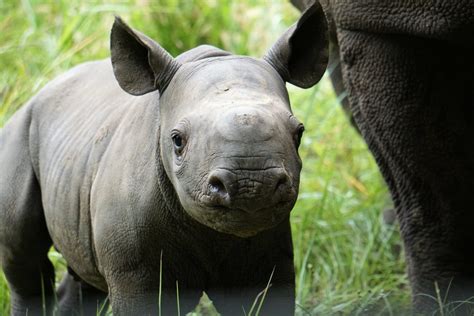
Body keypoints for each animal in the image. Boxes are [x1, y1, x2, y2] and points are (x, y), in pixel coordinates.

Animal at [0, 3, 326, 316]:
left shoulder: (268, 255)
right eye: (177, 140)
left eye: (299, 133)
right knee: (24, 258)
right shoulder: (134, 272)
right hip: (18, 133)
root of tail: (41, 91)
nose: (252, 185)